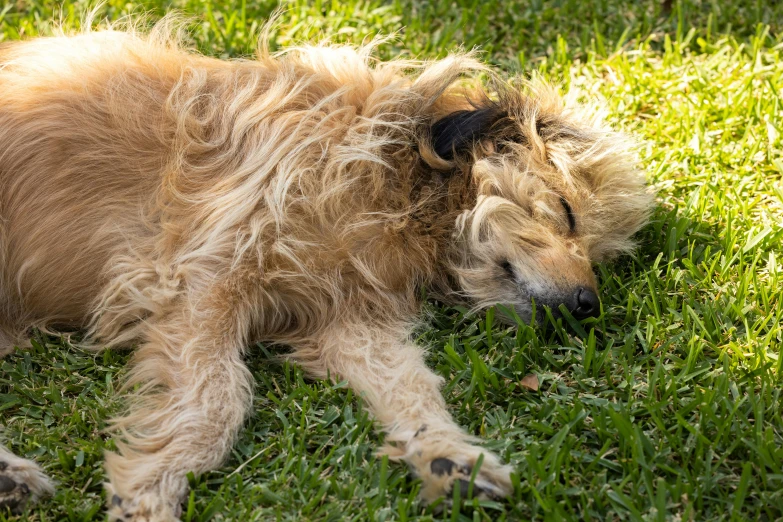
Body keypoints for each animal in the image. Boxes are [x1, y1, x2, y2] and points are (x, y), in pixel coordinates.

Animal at [0, 20, 652, 520]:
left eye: (597, 253)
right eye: (566, 211)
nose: (588, 307)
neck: (401, 193)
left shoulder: (349, 319)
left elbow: (411, 384)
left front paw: (450, 457)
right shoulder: (205, 282)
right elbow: (215, 402)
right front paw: (152, 490)